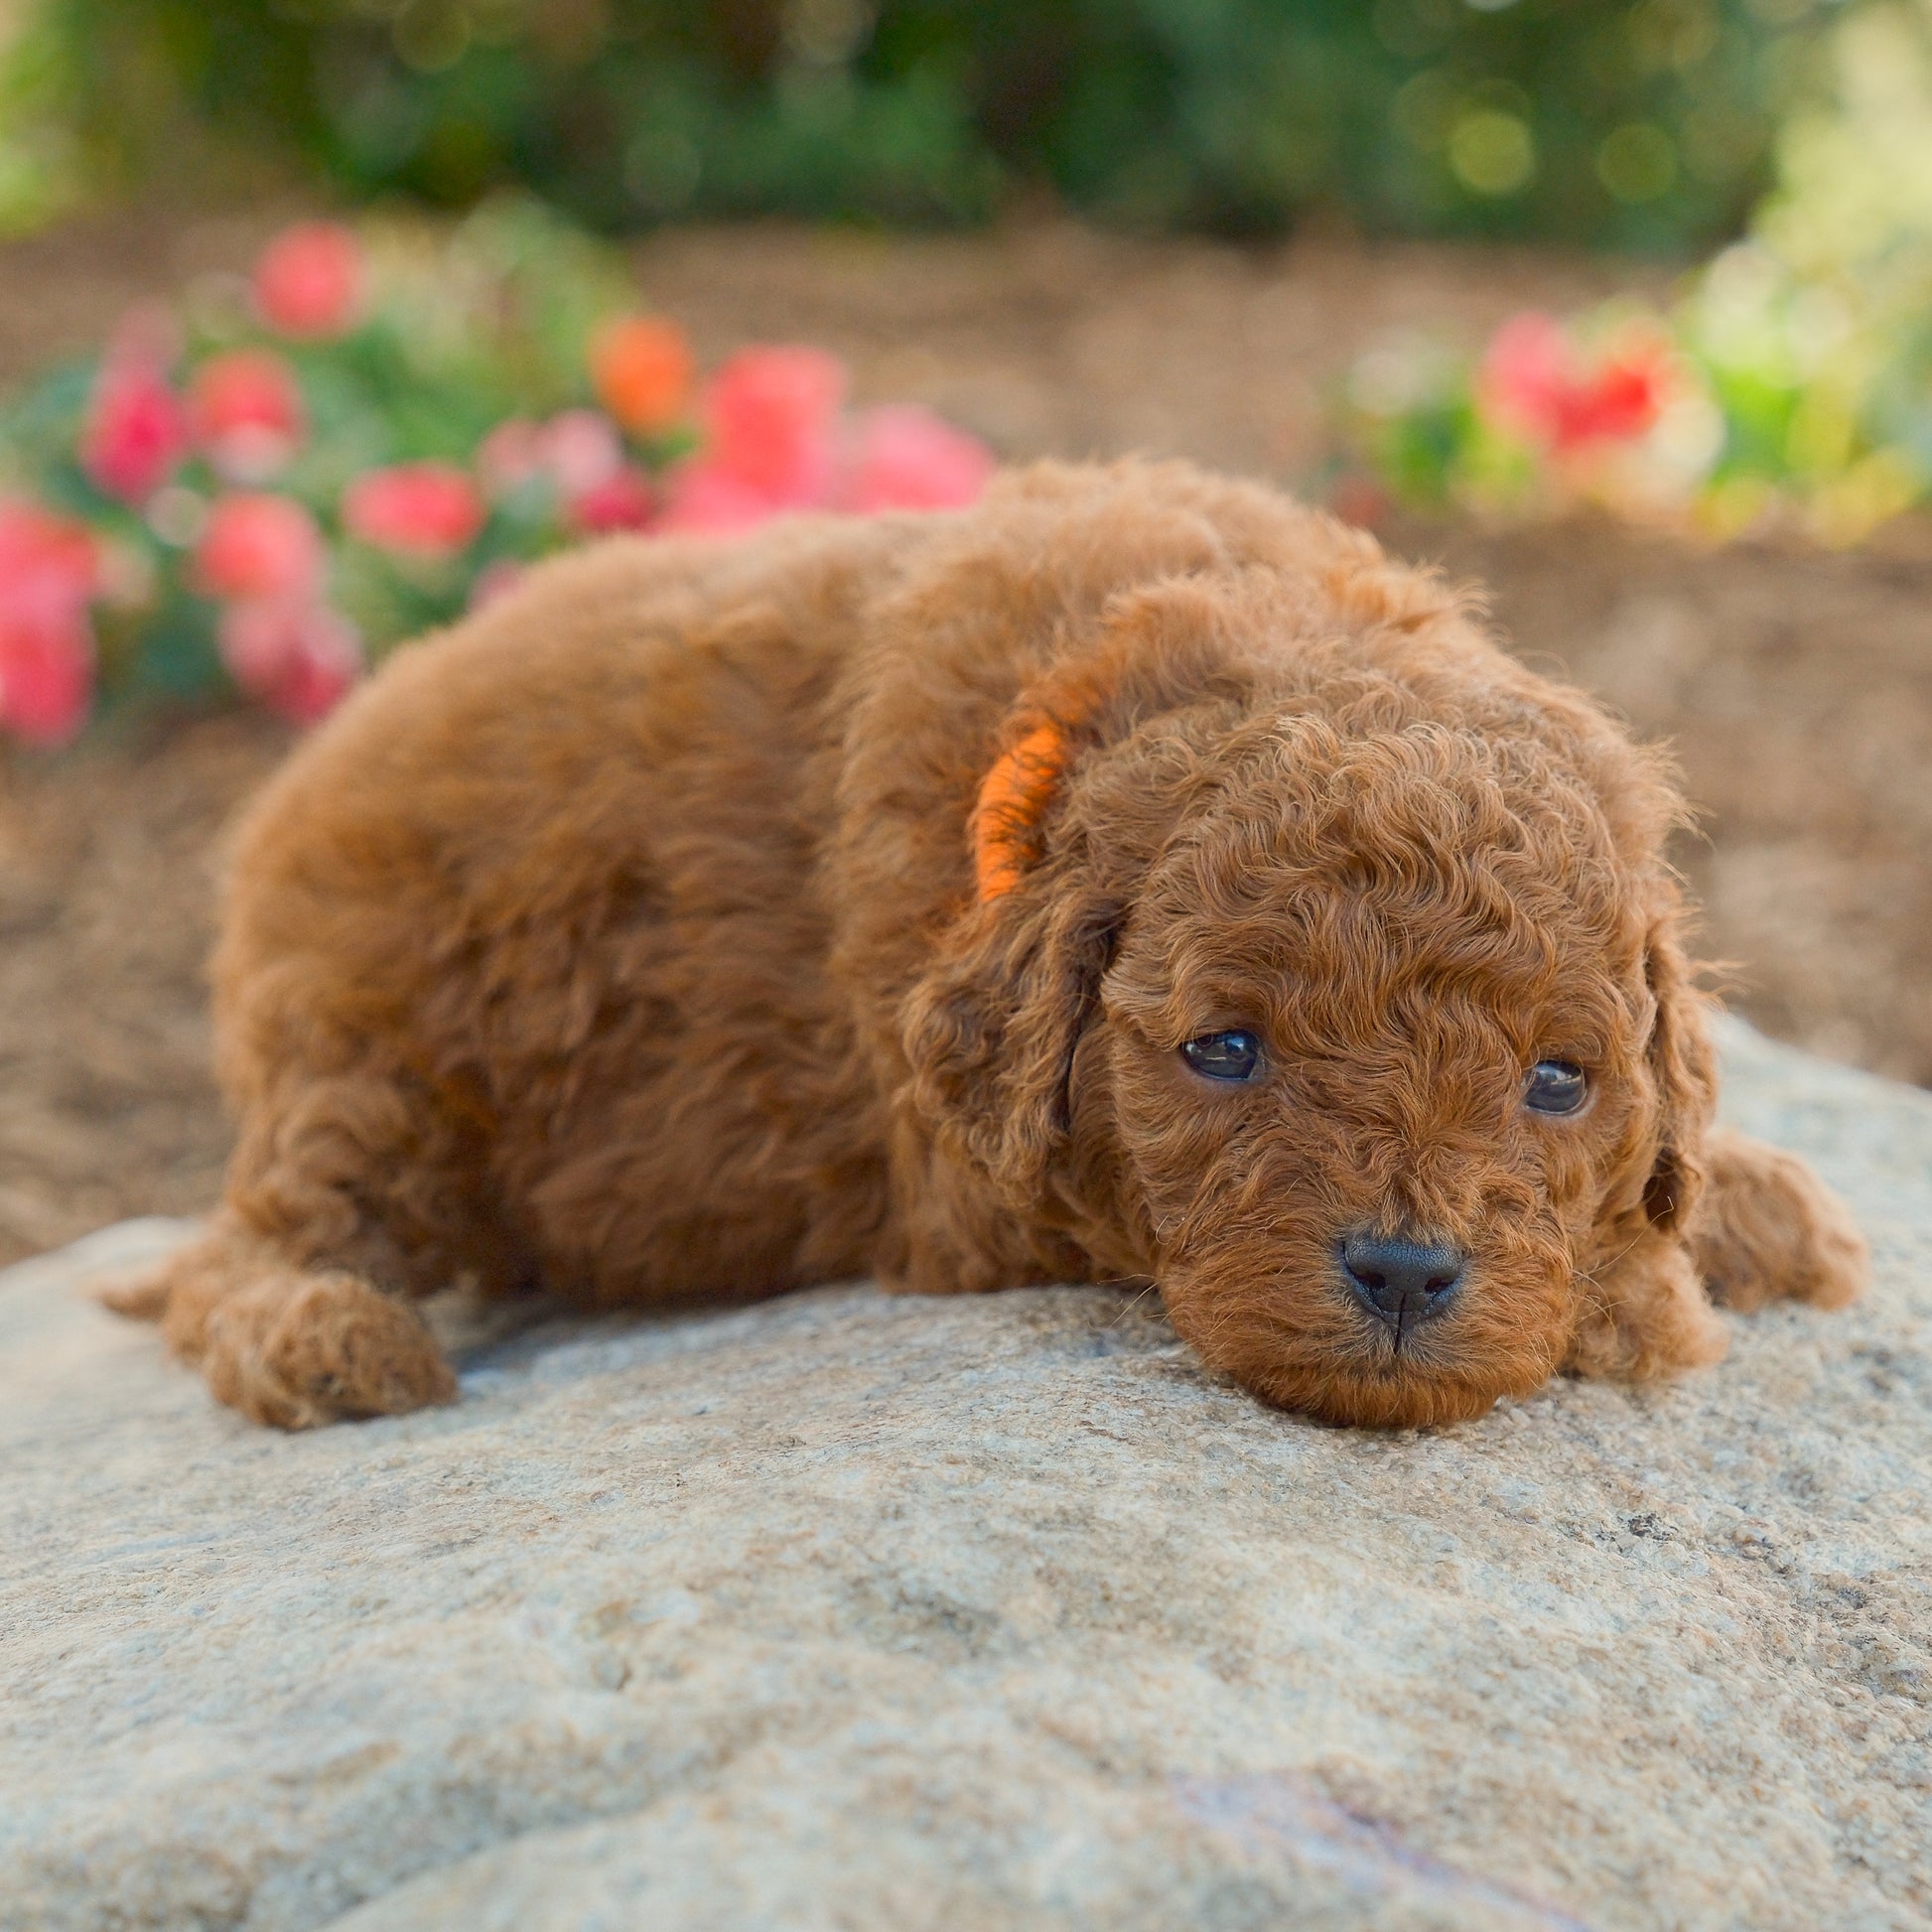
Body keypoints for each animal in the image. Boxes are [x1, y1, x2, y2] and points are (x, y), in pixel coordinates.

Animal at [112, 460, 1862, 1430]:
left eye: (1559, 1079)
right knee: (243, 1248)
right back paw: (327, 1338)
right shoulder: (964, 1184)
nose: (1403, 1272)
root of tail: (300, 770)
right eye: (1222, 1051)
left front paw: (1750, 1198)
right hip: (366, 1056)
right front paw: (1648, 1295)